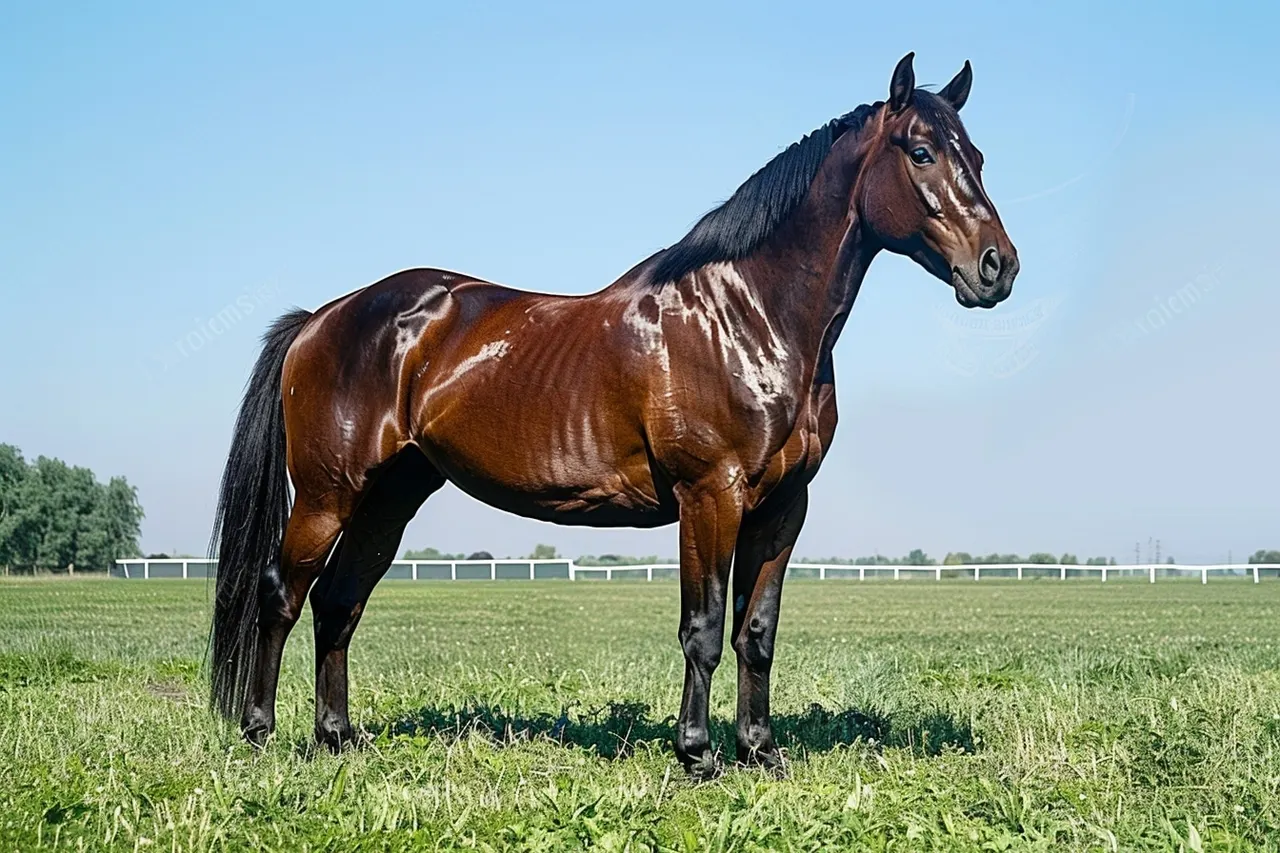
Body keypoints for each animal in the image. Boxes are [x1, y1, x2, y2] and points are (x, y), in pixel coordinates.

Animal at [210, 52, 1018, 777]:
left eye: (977, 156)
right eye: (921, 152)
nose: (997, 267)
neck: (748, 316)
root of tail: (323, 318)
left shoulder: (784, 506)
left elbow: (756, 632)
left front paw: (760, 752)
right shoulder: (709, 495)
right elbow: (704, 629)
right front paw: (696, 756)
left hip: (391, 496)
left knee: (338, 602)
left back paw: (338, 738)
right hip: (327, 493)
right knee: (283, 595)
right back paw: (259, 735)